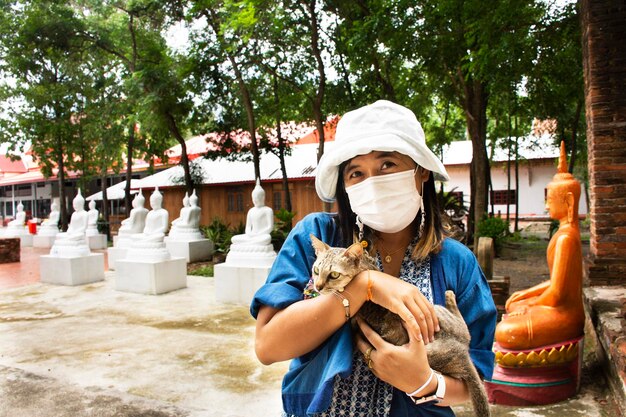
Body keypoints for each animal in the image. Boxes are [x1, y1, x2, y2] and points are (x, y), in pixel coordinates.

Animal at [310, 234, 490, 416]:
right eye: (316, 270)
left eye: (334, 274)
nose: (318, 286)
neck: (362, 267)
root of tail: (462, 352)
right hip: (443, 316)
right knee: (466, 330)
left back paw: (450, 296)